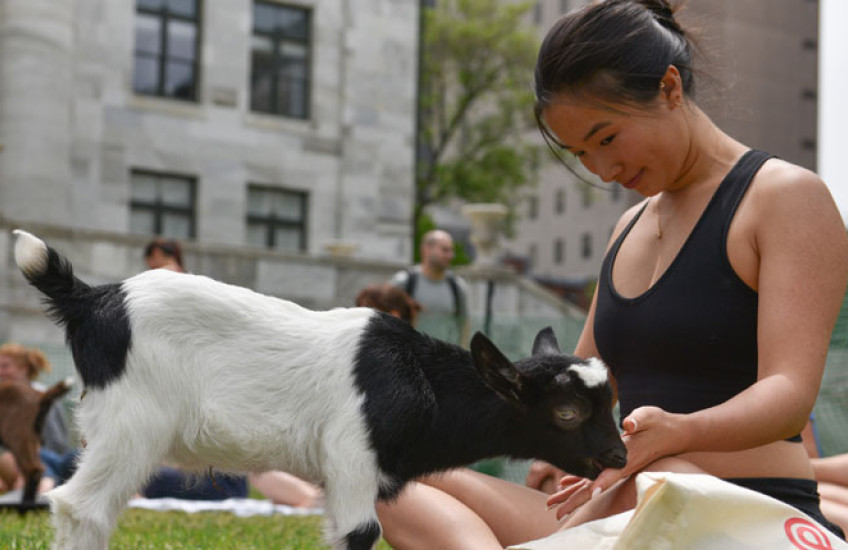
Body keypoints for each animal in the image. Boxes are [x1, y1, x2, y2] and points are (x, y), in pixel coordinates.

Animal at [12, 229, 626, 550]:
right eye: (567, 411)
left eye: (612, 402)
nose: (620, 456)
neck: (418, 378)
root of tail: (93, 299)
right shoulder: (350, 457)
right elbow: (361, 531)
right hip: (134, 421)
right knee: (80, 506)